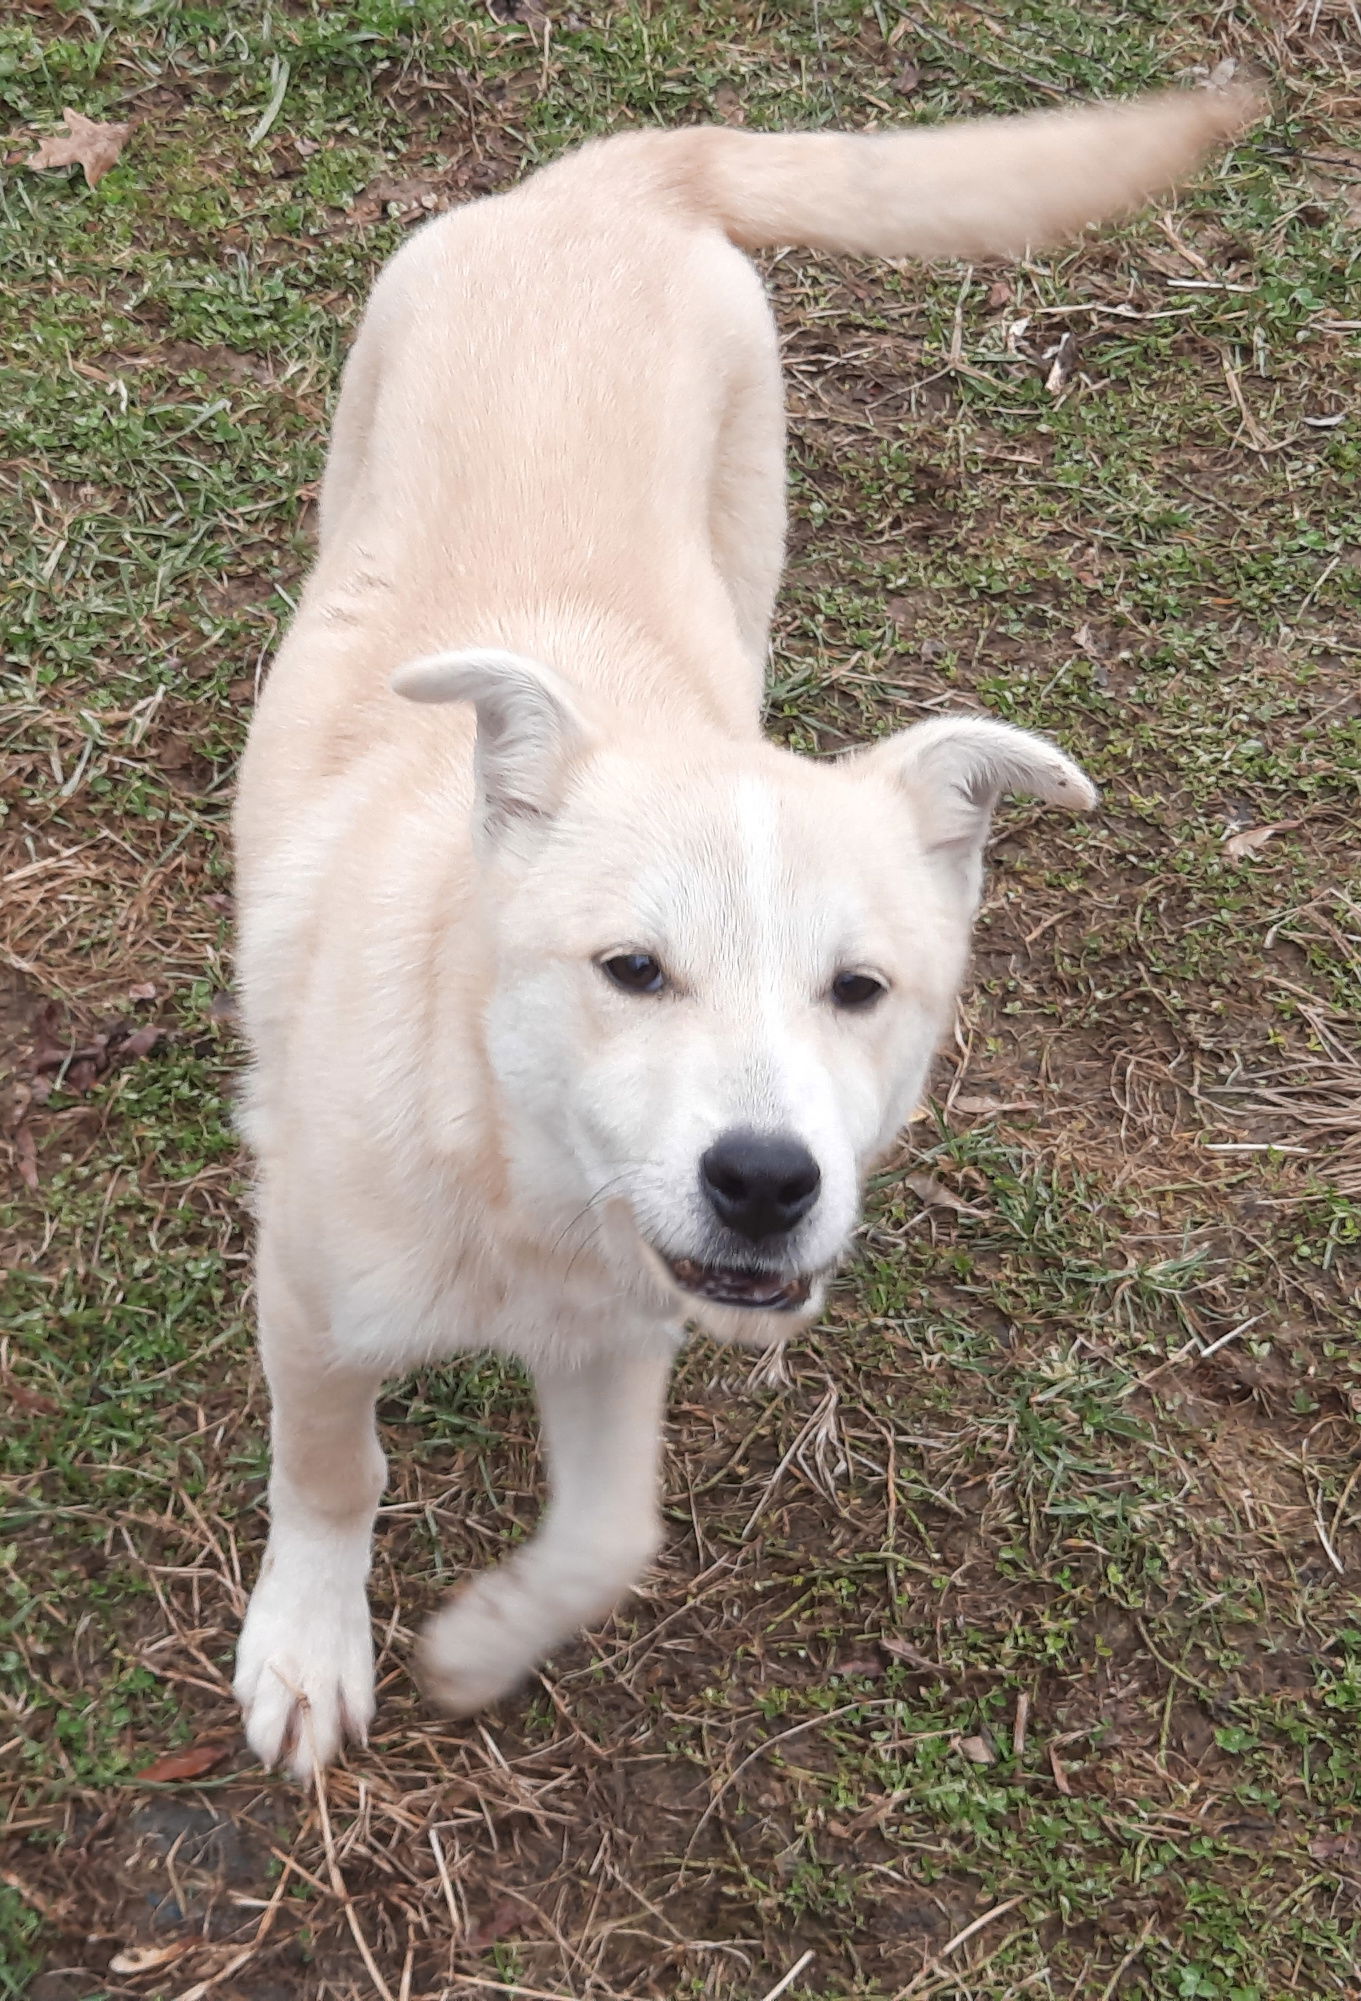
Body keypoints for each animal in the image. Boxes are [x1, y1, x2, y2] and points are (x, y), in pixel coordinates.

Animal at [231, 78, 1256, 1776]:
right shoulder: (311, 1307)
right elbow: (334, 1474)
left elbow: (611, 1538)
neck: (513, 1164)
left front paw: (483, 1641)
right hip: (369, 409)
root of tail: (617, 182)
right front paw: (310, 1649)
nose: (767, 1186)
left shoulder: (627, 1332)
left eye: (862, 989)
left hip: (749, 496)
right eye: (630, 971)